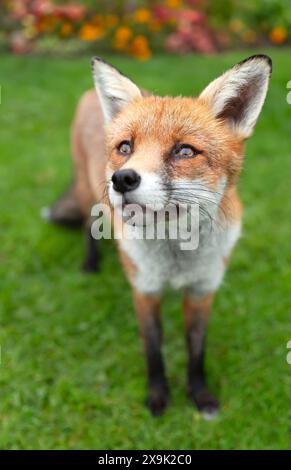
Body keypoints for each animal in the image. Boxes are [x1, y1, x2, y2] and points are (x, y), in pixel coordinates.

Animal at [45, 55, 272, 418]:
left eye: (185, 151)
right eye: (125, 147)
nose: (122, 179)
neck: (176, 255)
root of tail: (90, 96)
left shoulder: (202, 291)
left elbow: (196, 351)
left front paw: (200, 396)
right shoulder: (145, 290)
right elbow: (154, 350)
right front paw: (157, 396)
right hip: (86, 194)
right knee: (87, 226)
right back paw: (90, 265)